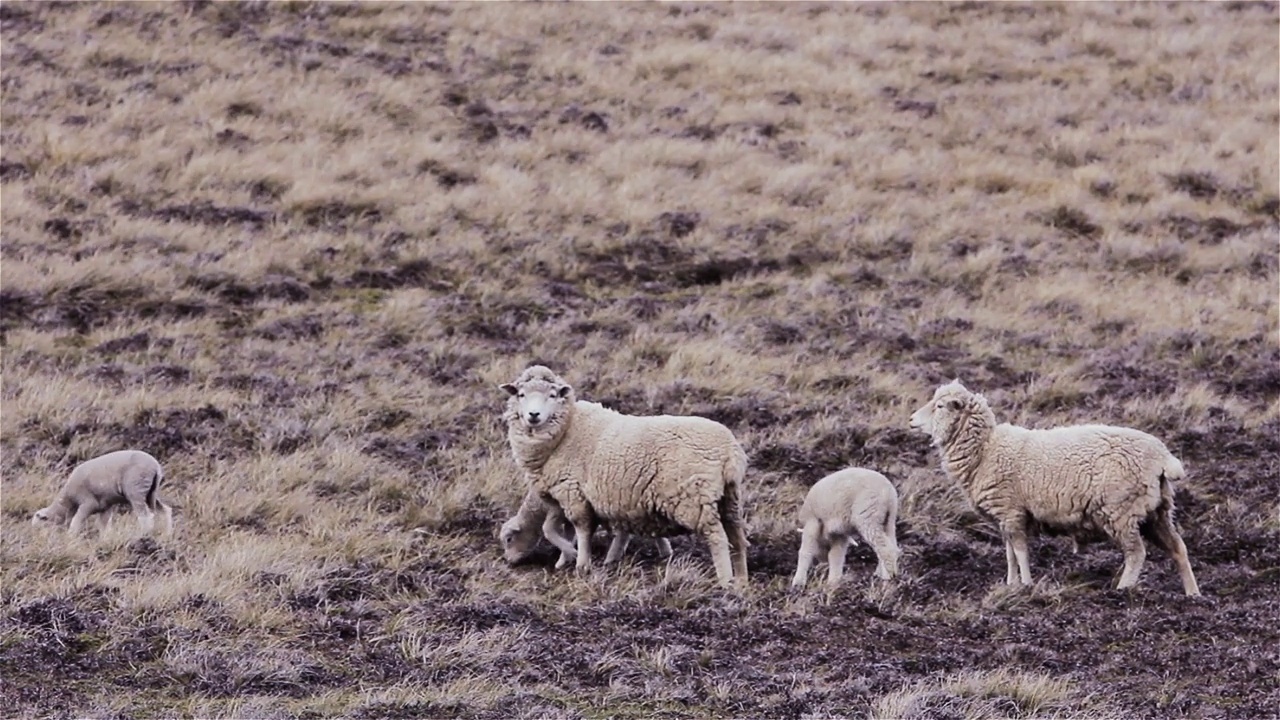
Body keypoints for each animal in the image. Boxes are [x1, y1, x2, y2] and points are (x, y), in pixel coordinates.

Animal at [31, 445, 175, 535]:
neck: (68, 502)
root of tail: (156, 466)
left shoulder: (88, 503)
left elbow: (75, 522)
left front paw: (71, 537)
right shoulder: (105, 506)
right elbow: (104, 525)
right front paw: (105, 539)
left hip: (136, 490)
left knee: (145, 516)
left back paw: (143, 534)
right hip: (151, 492)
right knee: (165, 510)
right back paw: (167, 534)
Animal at [499, 484, 680, 568]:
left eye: (509, 539)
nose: (508, 561)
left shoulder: (556, 511)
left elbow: (548, 530)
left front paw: (570, 553)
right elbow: (569, 533)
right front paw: (565, 558)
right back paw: (665, 552)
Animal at [911, 376, 1198, 594]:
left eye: (940, 406)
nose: (912, 420)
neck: (986, 449)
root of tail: (1163, 457)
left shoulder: (1011, 511)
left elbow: (1020, 552)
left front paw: (1026, 584)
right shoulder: (1006, 516)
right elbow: (1010, 554)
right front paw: (1010, 584)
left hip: (1122, 511)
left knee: (1137, 553)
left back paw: (1122, 590)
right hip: (1157, 511)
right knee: (1178, 548)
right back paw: (1192, 594)